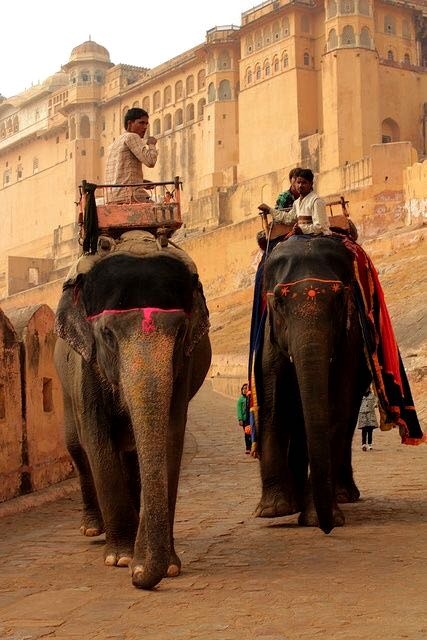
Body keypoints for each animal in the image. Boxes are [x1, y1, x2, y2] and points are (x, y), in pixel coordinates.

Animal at [54, 244, 211, 589]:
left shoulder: (182, 367)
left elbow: (170, 437)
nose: (139, 577)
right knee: (76, 448)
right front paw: (122, 558)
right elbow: (97, 441)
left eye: (181, 332)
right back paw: (93, 528)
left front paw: (163, 565)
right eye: (108, 335)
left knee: (131, 455)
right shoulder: (85, 366)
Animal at [253, 234, 371, 534]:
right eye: (279, 300)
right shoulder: (269, 341)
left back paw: (343, 494)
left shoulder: (348, 343)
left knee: (347, 419)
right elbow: (273, 405)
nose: (328, 530)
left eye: (340, 298)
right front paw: (272, 511)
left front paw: (318, 517)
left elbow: (334, 409)